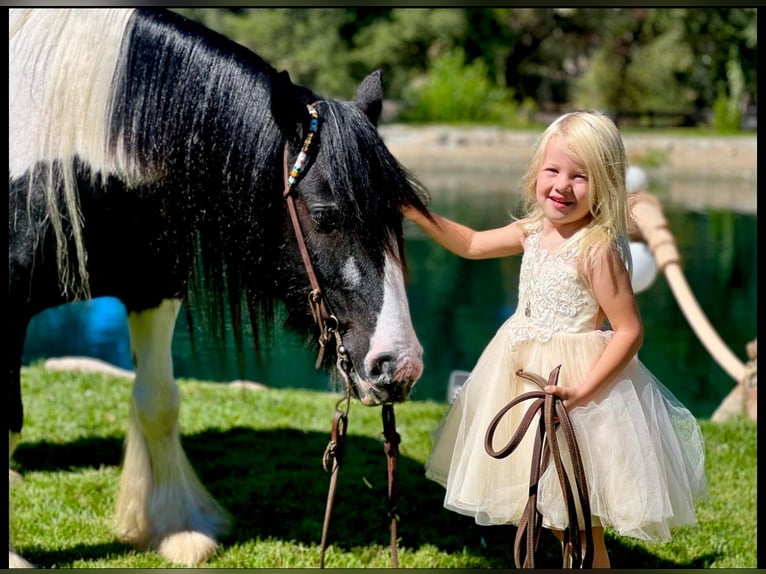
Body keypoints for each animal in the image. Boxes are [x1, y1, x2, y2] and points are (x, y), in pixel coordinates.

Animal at [10, 7, 432, 568]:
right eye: (325, 215)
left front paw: (176, 530)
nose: (400, 366)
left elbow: (158, 401)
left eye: (398, 217)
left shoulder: (154, 285)